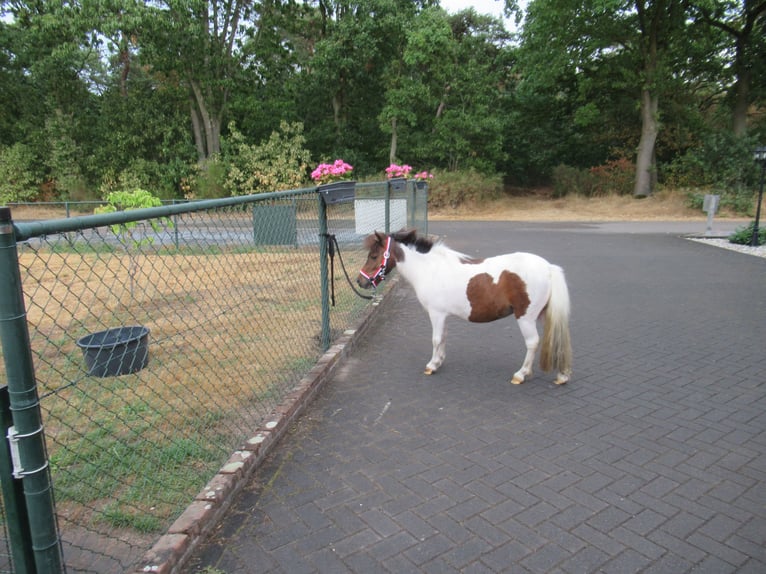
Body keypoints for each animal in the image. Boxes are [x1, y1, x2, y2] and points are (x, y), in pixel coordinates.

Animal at [357, 229, 572, 385]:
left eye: (374, 256)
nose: (360, 281)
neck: (429, 269)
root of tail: (548, 268)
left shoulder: (436, 314)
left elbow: (436, 339)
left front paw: (432, 365)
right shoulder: (443, 316)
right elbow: (443, 338)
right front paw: (439, 361)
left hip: (526, 318)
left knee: (533, 343)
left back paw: (521, 374)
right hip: (542, 315)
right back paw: (562, 376)